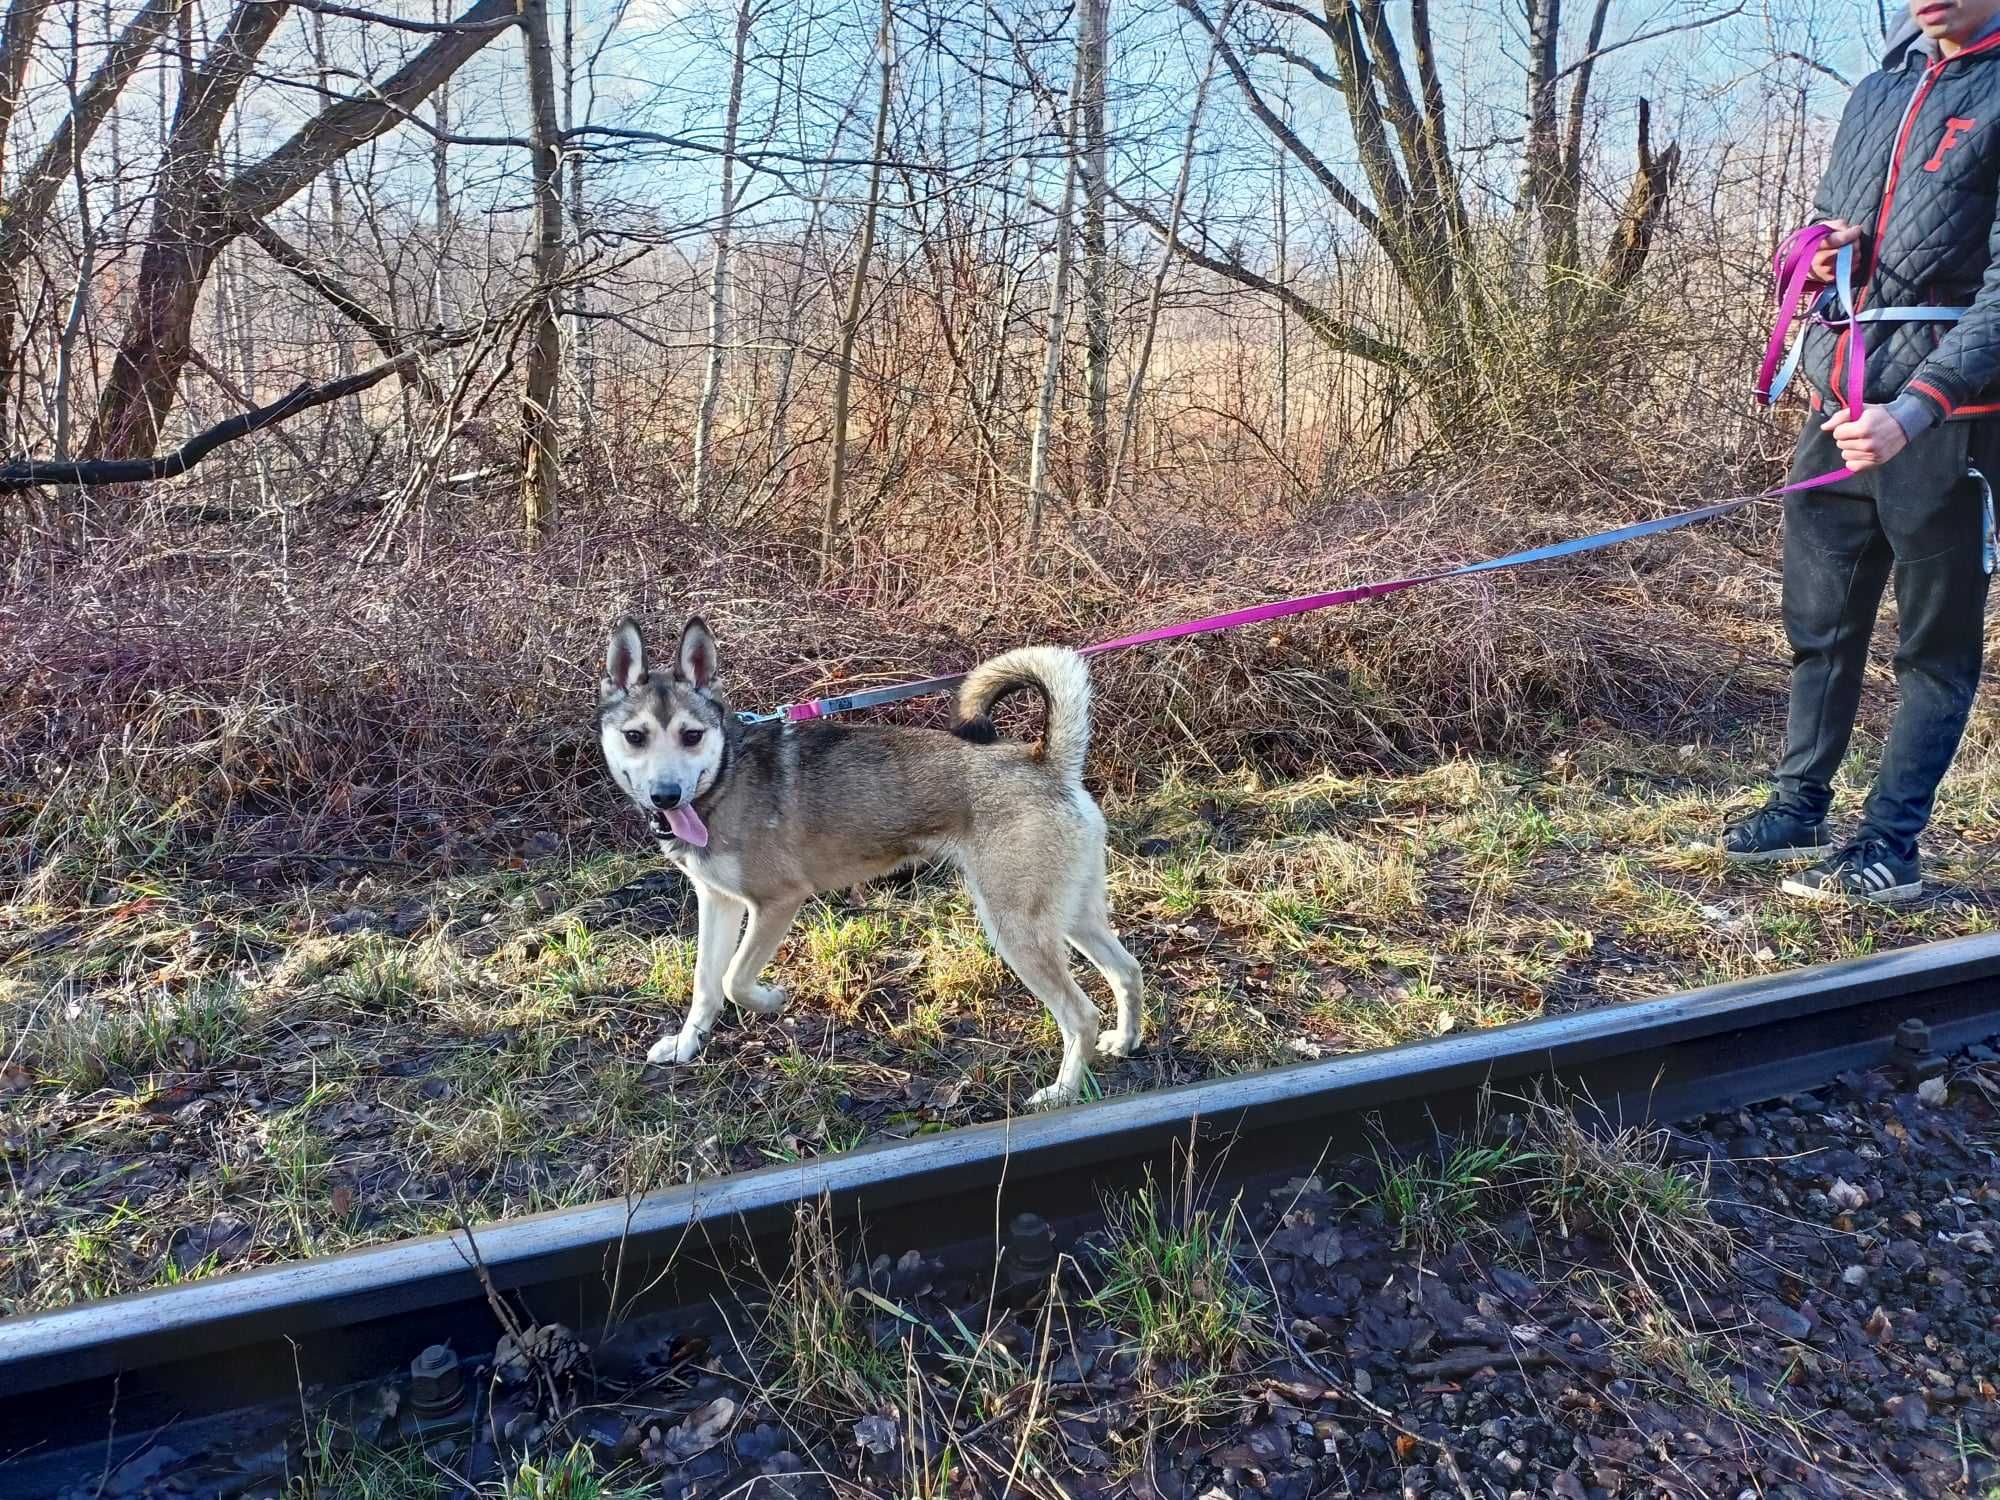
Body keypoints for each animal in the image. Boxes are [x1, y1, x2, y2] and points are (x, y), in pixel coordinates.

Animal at [592, 616, 1144, 1112]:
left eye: (691, 736)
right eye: (636, 737)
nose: (666, 795)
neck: (725, 777)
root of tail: (1046, 761)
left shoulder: (776, 903)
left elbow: (733, 980)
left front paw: (770, 1000)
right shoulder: (718, 902)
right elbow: (706, 986)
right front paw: (688, 1045)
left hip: (1017, 930)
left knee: (1080, 1014)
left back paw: (1064, 1091)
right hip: (1071, 917)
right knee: (1127, 970)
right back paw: (1125, 1040)